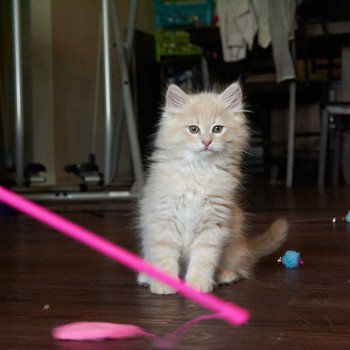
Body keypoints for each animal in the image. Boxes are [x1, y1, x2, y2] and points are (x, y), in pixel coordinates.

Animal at [137, 83, 288, 294]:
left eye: (217, 129)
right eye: (193, 129)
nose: (207, 142)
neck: (199, 172)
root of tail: (247, 247)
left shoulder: (213, 225)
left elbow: (203, 259)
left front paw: (197, 284)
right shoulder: (163, 220)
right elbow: (164, 255)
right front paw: (164, 284)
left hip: (234, 239)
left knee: (240, 266)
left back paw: (226, 274)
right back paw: (146, 275)